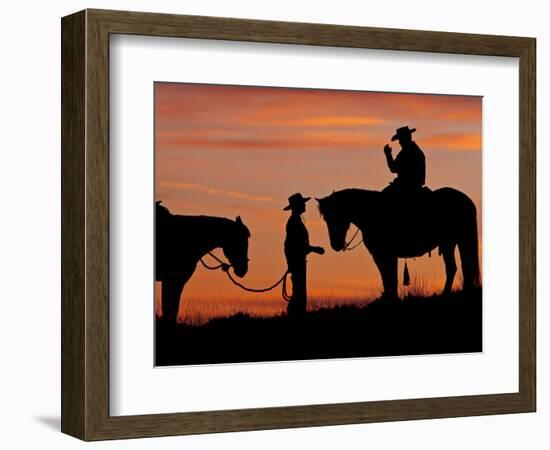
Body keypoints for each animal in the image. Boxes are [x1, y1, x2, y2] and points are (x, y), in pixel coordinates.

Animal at [316, 188, 480, 298]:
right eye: (325, 218)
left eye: (337, 215)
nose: (336, 245)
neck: (371, 212)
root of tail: (467, 201)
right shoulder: (384, 255)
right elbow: (388, 276)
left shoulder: (383, 254)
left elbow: (389, 277)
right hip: (454, 243)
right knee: (461, 267)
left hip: (453, 242)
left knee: (457, 267)